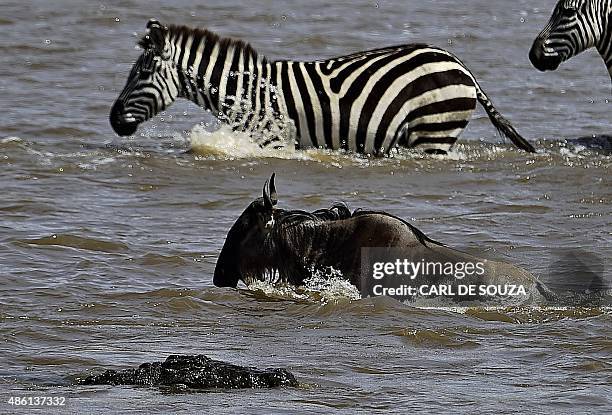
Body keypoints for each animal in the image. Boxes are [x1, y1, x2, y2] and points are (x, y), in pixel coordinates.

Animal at [111, 19, 536, 154]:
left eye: (141, 74)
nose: (113, 120)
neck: (246, 92)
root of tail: (461, 66)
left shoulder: (273, 141)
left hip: (433, 130)